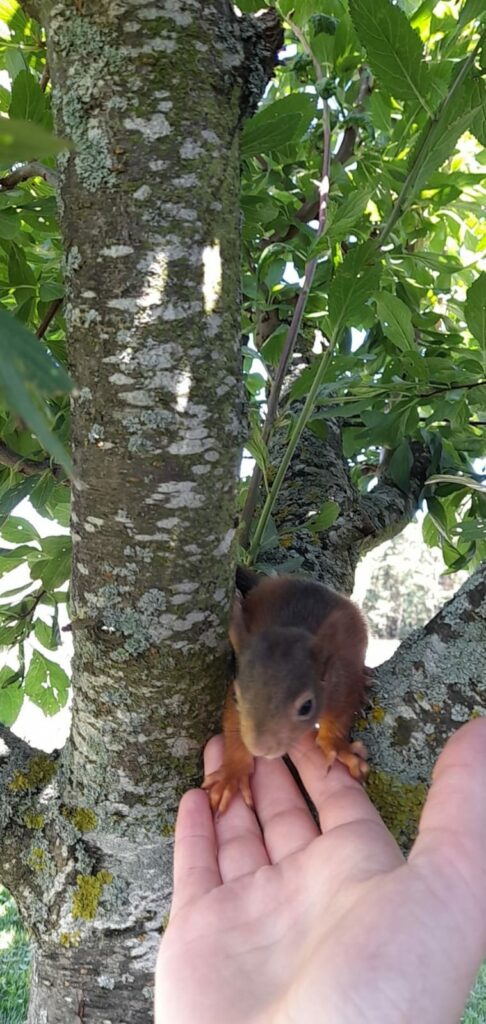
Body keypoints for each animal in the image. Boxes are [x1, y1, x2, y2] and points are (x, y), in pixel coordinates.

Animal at [202, 568, 370, 814]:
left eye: (307, 707)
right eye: (236, 697)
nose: (260, 748)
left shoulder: (341, 684)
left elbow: (340, 715)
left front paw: (337, 746)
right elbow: (233, 725)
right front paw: (233, 772)